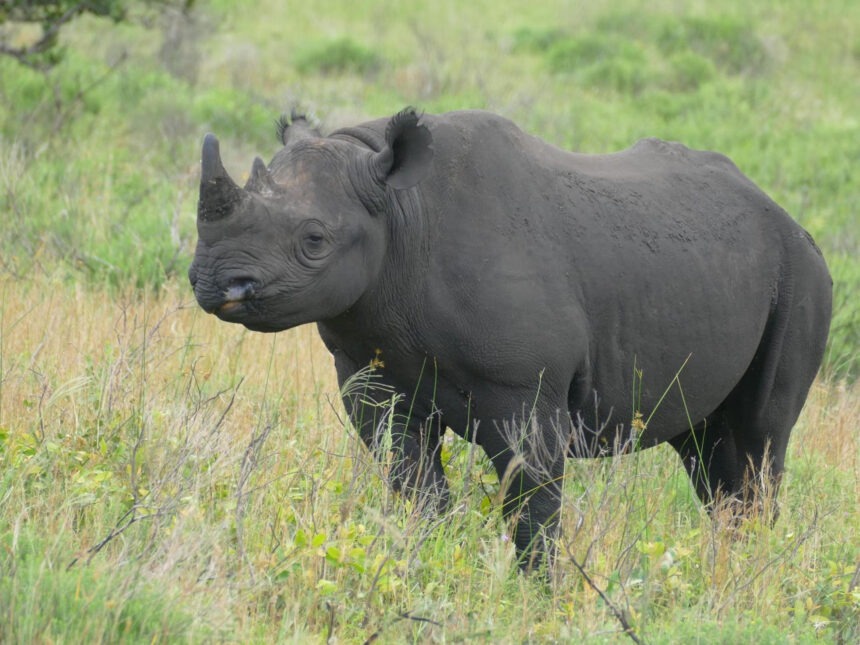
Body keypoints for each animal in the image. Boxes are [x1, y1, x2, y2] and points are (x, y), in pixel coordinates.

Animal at [189, 108, 832, 569]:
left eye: (315, 240)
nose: (215, 282)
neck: (398, 212)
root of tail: (789, 216)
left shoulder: (525, 388)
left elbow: (532, 503)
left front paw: (540, 592)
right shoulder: (368, 371)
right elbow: (411, 480)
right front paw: (430, 563)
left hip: (801, 273)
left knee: (761, 439)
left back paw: (748, 570)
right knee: (709, 449)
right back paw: (729, 566)